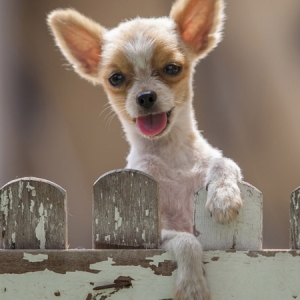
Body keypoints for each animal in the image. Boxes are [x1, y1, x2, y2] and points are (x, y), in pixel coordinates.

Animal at [48, 1, 243, 298]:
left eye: (172, 68)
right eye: (116, 78)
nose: (145, 96)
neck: (170, 153)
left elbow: (224, 163)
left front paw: (224, 196)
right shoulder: (149, 235)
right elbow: (187, 240)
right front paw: (192, 284)